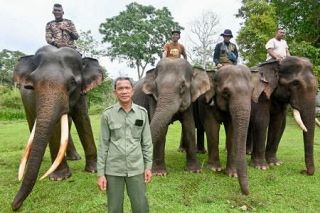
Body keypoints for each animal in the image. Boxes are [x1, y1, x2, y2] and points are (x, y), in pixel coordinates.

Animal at [10, 45, 104, 211]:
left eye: (72, 82)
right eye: (31, 85)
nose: (14, 206)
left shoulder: (81, 94)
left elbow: (83, 119)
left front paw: (93, 170)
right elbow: (55, 129)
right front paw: (59, 178)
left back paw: (74, 158)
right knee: (32, 122)